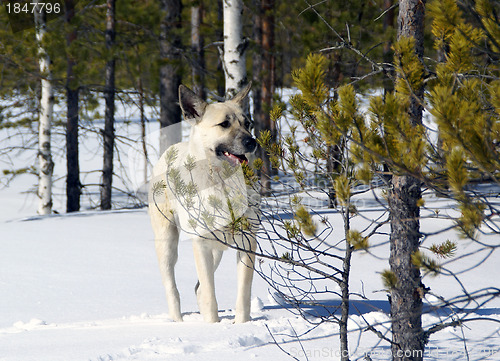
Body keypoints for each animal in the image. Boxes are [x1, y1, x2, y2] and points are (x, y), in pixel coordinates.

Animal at [147, 83, 258, 322]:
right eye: (224, 124)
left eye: (248, 124)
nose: (252, 142)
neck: (222, 183)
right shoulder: (201, 244)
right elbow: (209, 293)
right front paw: (212, 325)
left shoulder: (247, 242)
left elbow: (243, 293)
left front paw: (241, 324)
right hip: (167, 243)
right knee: (172, 288)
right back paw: (178, 321)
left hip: (216, 250)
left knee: (197, 288)